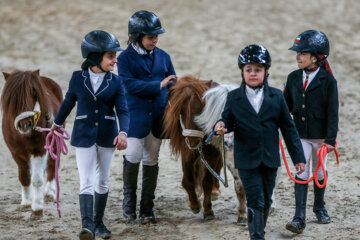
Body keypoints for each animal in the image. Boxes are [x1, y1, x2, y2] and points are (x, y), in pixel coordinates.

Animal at [1, 70, 62, 216]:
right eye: (12, 98)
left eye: (34, 94)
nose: (25, 125)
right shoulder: (16, 153)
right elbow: (24, 177)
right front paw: (26, 202)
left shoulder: (39, 150)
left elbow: (37, 180)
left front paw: (37, 207)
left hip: (54, 141)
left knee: (53, 164)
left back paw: (50, 192)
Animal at [164, 76, 222, 220]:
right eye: (181, 111)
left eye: (202, 109)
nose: (193, 140)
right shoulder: (187, 152)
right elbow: (188, 181)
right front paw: (194, 204)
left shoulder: (213, 153)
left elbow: (207, 181)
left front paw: (208, 210)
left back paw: (215, 190)